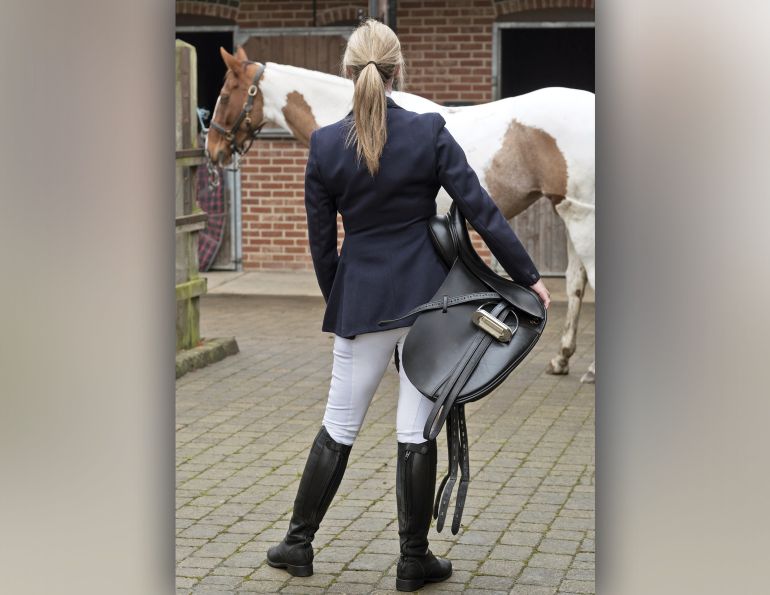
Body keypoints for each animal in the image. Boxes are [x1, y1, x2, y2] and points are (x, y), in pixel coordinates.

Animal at [206, 47, 595, 384]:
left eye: (224, 95)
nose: (213, 150)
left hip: (580, 217)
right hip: (568, 211)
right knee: (576, 283)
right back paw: (561, 358)